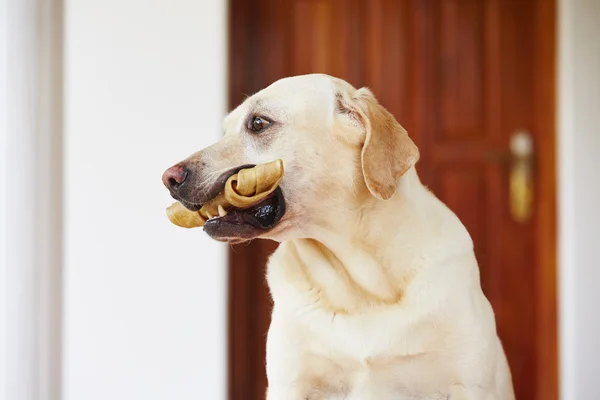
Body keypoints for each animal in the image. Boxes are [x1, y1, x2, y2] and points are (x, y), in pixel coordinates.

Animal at [162, 73, 512, 398]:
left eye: (258, 123)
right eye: (225, 130)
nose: (169, 178)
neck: (361, 284)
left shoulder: (469, 384)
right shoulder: (290, 383)